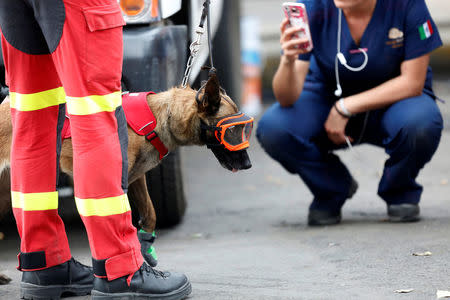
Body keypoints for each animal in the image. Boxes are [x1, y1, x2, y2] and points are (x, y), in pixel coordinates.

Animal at [0, 74, 251, 264]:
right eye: (232, 130)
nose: (248, 164)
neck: (158, 117)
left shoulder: (136, 178)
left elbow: (150, 213)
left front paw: (146, 244)